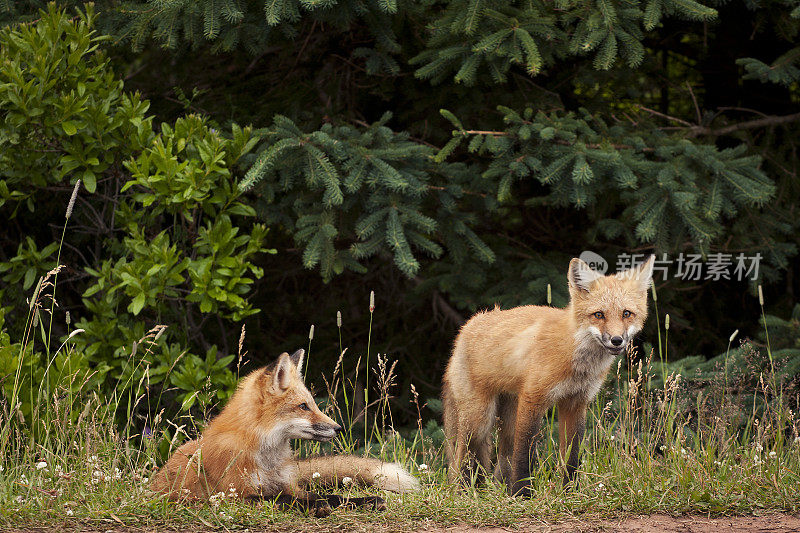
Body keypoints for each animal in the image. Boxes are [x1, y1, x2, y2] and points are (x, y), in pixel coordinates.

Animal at [152, 348, 422, 512]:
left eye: (313, 404)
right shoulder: (235, 495)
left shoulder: (290, 485)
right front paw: (317, 509)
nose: (339, 428)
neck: (267, 460)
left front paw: (362, 501)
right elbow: (286, 500)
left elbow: (327, 496)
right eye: (303, 406)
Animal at [440, 254, 652, 494]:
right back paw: (465, 492)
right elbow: (524, 455)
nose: (617, 340)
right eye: (599, 315)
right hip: (480, 419)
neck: (572, 353)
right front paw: (521, 494)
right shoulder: (533, 398)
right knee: (463, 456)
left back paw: (499, 490)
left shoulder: (575, 402)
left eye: (626, 314)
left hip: (508, 418)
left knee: (502, 459)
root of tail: (465, 329)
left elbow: (571, 456)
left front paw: (570, 492)